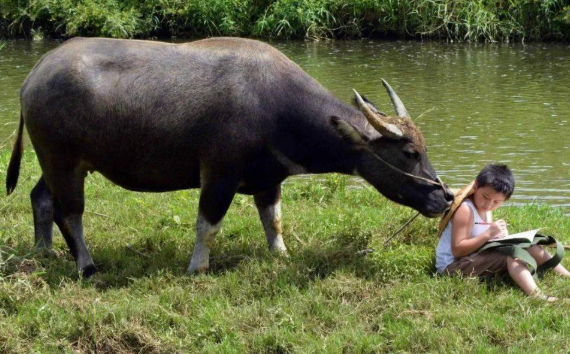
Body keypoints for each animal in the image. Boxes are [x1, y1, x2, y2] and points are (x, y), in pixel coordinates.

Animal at [5, 38, 448, 276]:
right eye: (410, 152)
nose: (442, 196)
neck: (276, 105)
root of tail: (33, 75)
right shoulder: (218, 174)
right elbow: (208, 225)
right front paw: (197, 267)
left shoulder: (270, 179)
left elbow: (274, 222)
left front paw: (281, 255)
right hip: (62, 161)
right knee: (70, 213)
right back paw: (86, 266)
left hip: (62, 163)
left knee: (41, 198)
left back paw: (44, 251)